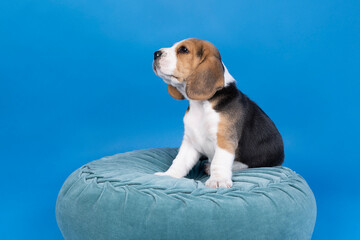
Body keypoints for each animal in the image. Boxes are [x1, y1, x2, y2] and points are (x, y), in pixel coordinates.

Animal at [152, 38, 284, 188]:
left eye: (184, 49)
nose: (156, 53)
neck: (201, 105)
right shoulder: (190, 141)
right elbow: (180, 161)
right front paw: (169, 175)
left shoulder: (224, 140)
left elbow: (219, 161)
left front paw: (218, 180)